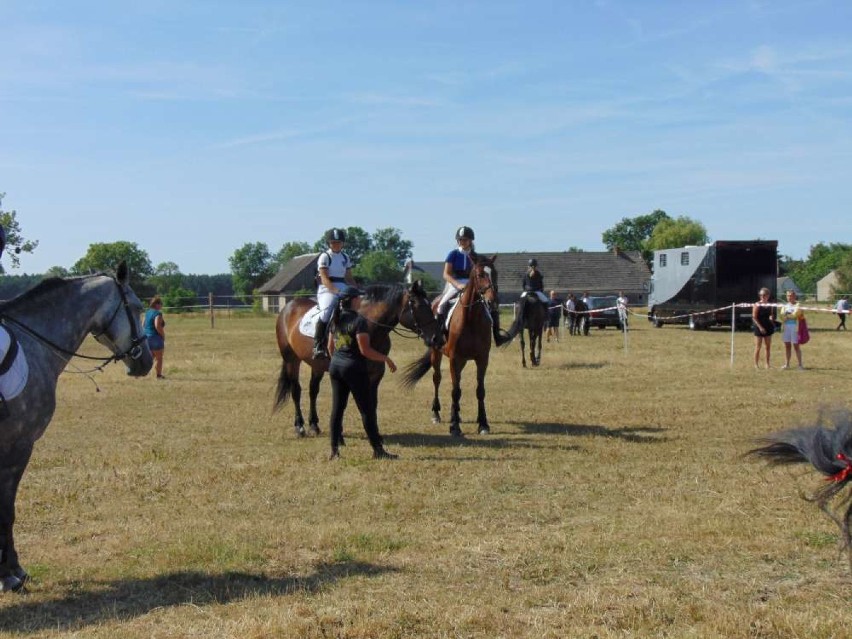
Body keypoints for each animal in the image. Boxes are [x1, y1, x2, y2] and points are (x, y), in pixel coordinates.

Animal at [402, 252, 502, 438]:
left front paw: (483, 424)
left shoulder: (482, 359)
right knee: (437, 379)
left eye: (495, 274)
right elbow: (455, 391)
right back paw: (436, 413)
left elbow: (480, 390)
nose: (492, 302)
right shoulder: (455, 358)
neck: (471, 319)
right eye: (480, 275)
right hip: (437, 354)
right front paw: (454, 426)